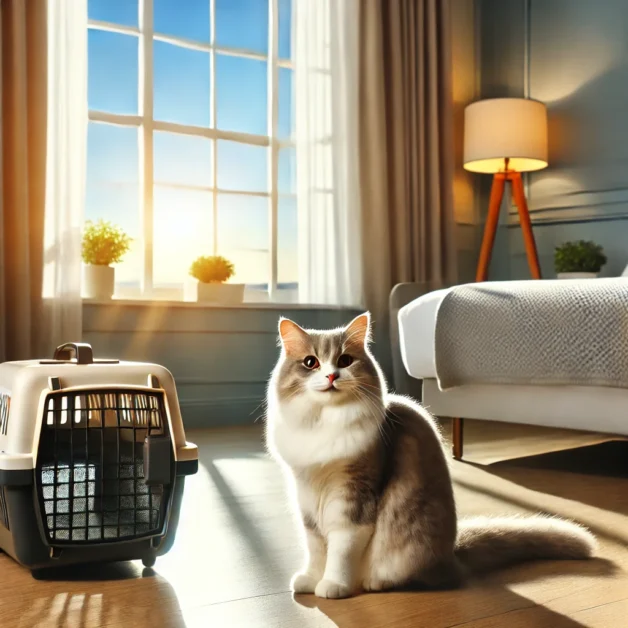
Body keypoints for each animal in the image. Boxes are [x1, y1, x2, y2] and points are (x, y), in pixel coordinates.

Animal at [262, 314, 596, 600]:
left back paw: (375, 582)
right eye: (311, 362)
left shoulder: (354, 499)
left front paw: (334, 585)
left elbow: (340, 550)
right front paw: (310, 579)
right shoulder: (306, 496)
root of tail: (453, 554)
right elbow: (316, 547)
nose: (331, 375)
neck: (323, 424)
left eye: (345, 360)